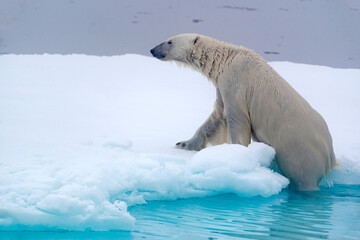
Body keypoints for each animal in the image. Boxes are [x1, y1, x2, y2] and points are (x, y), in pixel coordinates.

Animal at [150, 33, 336, 191]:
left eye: (169, 41)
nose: (152, 50)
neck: (226, 59)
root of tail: (330, 154)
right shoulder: (221, 86)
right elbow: (216, 118)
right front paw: (183, 143)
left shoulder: (236, 81)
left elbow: (237, 119)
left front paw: (236, 154)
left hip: (301, 152)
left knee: (304, 177)